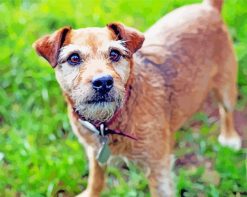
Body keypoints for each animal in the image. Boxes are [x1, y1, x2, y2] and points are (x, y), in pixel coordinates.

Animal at [32, 0, 241, 196]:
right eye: (74, 58)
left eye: (114, 54)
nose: (103, 82)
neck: (110, 122)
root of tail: (208, 9)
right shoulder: (94, 153)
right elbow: (96, 179)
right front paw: (91, 193)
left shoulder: (158, 167)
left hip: (226, 88)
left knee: (226, 112)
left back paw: (229, 137)